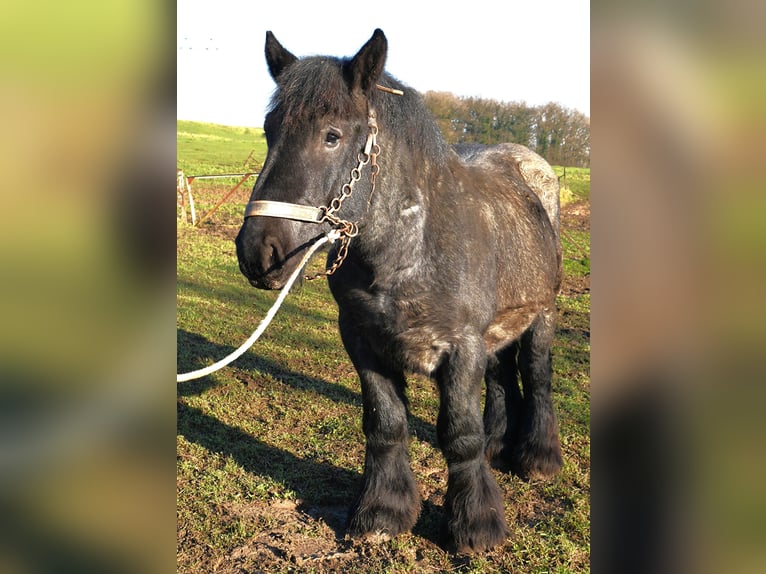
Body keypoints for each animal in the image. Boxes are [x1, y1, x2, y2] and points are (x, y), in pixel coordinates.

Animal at [234, 28, 564, 552]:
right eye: (269, 129)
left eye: (332, 135)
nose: (259, 252)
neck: (407, 248)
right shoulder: (364, 342)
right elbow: (385, 424)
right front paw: (383, 511)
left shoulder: (462, 347)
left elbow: (460, 435)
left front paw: (476, 524)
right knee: (500, 377)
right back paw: (499, 444)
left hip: (542, 316)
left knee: (536, 374)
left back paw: (538, 457)